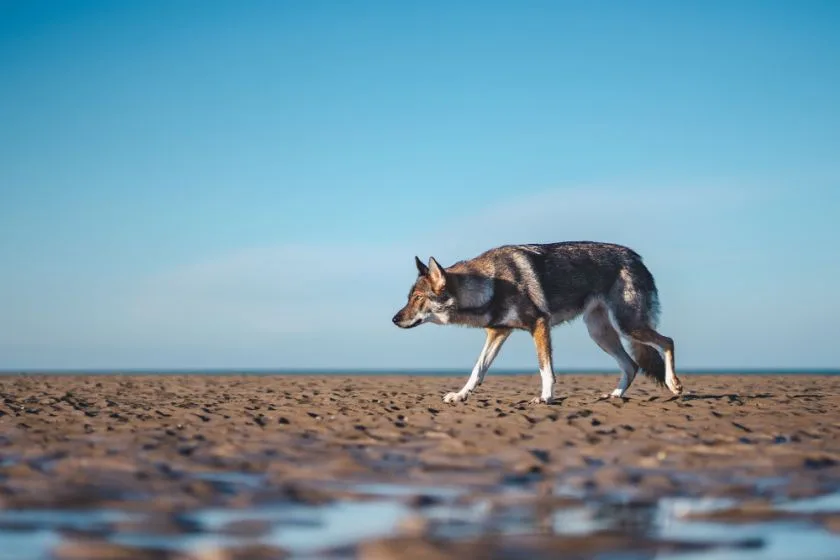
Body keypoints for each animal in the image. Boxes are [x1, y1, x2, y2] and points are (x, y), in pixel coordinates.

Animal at [394, 241, 684, 402]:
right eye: (409, 298)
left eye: (417, 298)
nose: (395, 319)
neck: (492, 284)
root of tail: (636, 257)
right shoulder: (498, 333)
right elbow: (478, 370)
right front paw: (461, 395)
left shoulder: (540, 325)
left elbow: (546, 369)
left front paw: (545, 397)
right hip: (601, 333)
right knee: (631, 366)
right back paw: (614, 395)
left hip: (628, 326)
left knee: (667, 342)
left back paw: (674, 384)